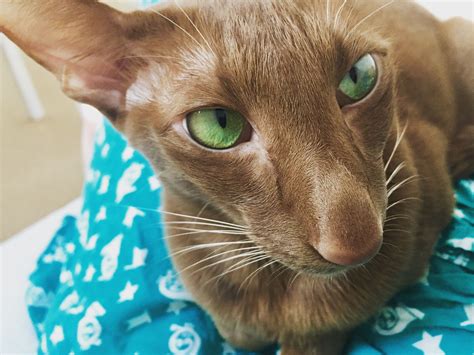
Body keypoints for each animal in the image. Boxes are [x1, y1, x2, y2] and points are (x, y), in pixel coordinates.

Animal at [1, 0, 472, 354]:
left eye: (359, 77)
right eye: (218, 125)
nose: (357, 244)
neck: (268, 285)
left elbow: (319, 334)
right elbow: (236, 334)